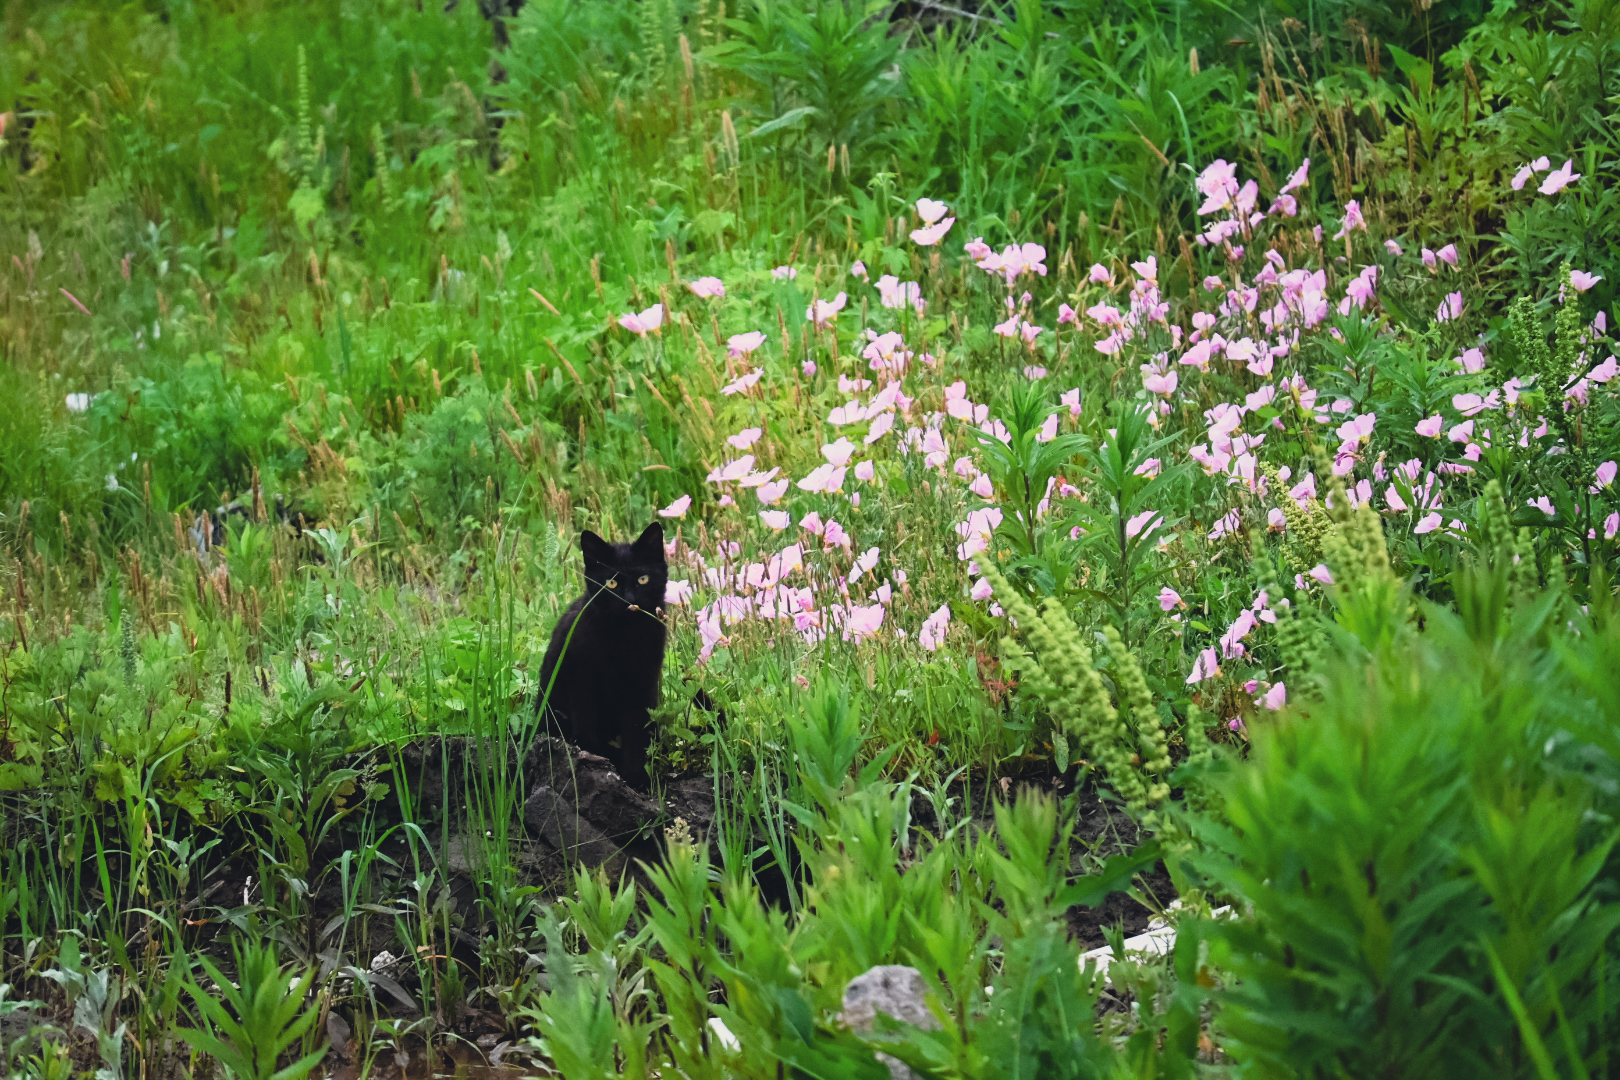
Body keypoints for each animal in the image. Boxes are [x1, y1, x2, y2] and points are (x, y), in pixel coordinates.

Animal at [535, 522, 668, 789]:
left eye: (643, 579)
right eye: (611, 584)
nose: (629, 601)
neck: (625, 637)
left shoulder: (642, 684)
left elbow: (636, 732)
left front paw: (635, 778)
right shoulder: (581, 679)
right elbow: (586, 721)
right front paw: (592, 760)